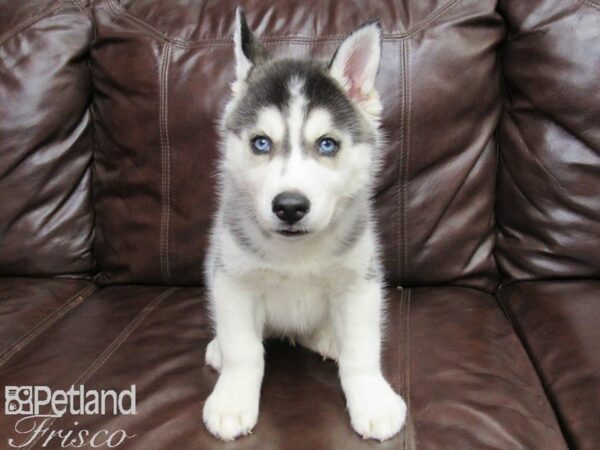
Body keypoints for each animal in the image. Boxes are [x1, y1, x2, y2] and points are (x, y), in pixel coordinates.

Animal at [204, 7, 406, 442]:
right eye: (261, 142)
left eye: (327, 144)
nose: (290, 206)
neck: (295, 251)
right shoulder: (233, 280)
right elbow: (245, 351)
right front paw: (232, 400)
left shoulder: (360, 282)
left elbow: (362, 351)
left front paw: (373, 401)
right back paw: (218, 348)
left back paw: (329, 338)